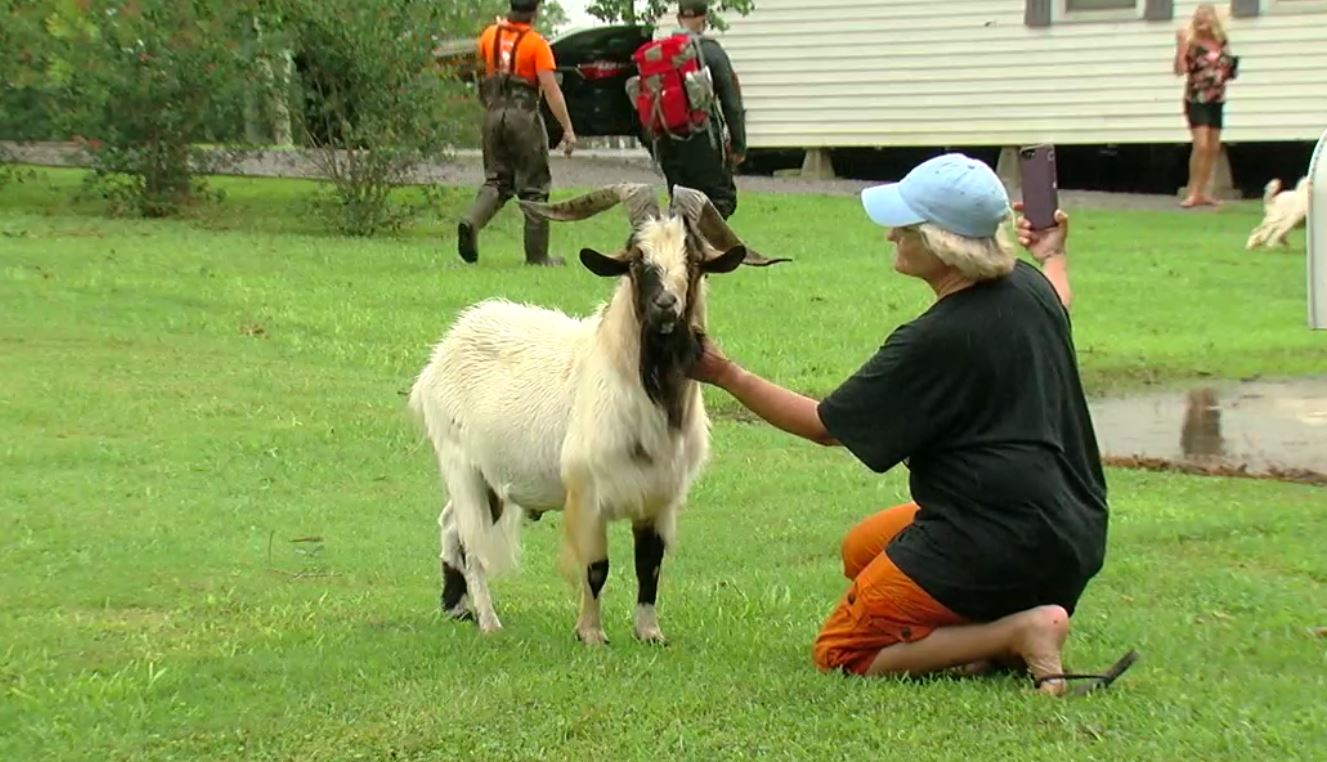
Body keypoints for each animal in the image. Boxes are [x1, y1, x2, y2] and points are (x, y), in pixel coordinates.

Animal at [407, 184, 788, 645]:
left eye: (694, 260)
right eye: (637, 260)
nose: (666, 305)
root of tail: (443, 351)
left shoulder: (661, 498)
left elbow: (650, 565)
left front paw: (650, 632)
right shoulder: (588, 494)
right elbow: (595, 568)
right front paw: (590, 634)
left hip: (491, 480)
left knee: (450, 524)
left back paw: (456, 606)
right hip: (461, 464)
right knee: (472, 539)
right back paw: (488, 620)